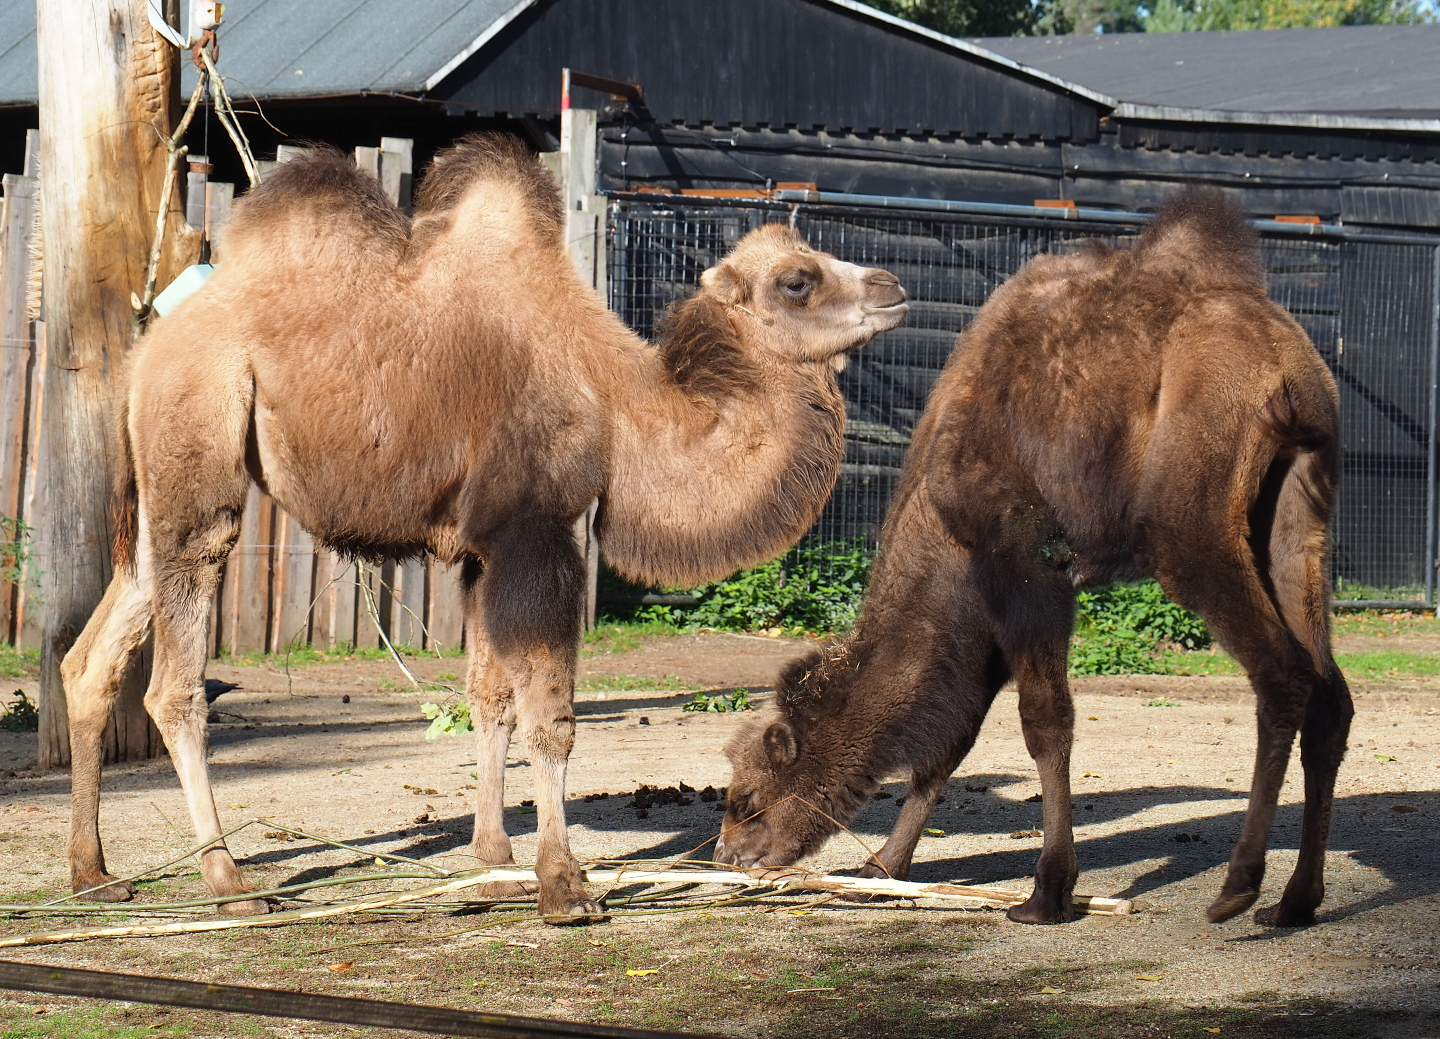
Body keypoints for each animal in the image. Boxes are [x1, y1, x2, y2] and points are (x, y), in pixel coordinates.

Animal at [62, 134, 908, 922]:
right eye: (797, 280)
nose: (895, 286)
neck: (619, 406)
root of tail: (145, 353)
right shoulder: (538, 529)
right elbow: (551, 715)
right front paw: (564, 886)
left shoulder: (483, 548)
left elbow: (490, 696)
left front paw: (494, 867)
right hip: (199, 455)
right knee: (176, 682)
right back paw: (228, 879)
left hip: (157, 501)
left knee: (92, 657)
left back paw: (95, 874)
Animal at [716, 187, 1352, 929]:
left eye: (746, 799)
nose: (731, 856)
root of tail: (1284, 361)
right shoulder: (980, 610)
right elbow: (952, 742)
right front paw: (883, 866)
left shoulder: (1021, 560)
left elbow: (1044, 721)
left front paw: (1047, 890)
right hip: (1295, 508)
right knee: (1331, 692)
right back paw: (1296, 900)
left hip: (1190, 522)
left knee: (1281, 674)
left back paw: (1238, 886)